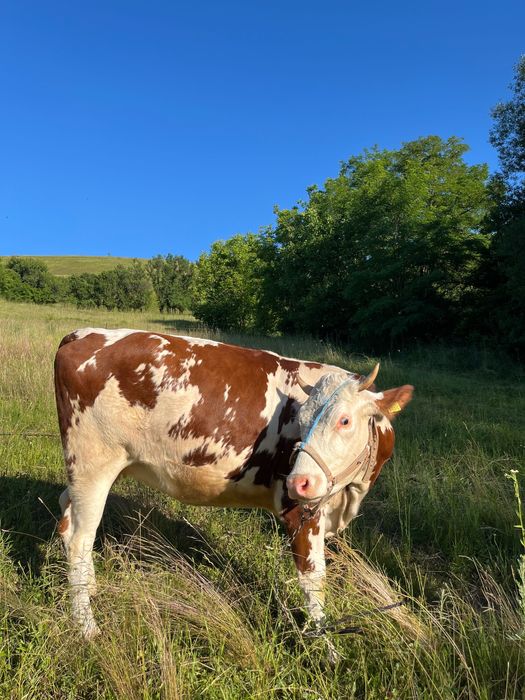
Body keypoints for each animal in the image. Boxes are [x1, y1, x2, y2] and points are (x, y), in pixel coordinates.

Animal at [54, 328, 413, 640]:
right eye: (300, 420)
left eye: (345, 420)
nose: (299, 482)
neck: (349, 496)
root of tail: (82, 334)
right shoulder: (300, 510)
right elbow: (314, 580)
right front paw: (325, 648)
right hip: (92, 463)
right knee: (80, 539)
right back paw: (86, 625)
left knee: (66, 518)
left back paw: (90, 589)